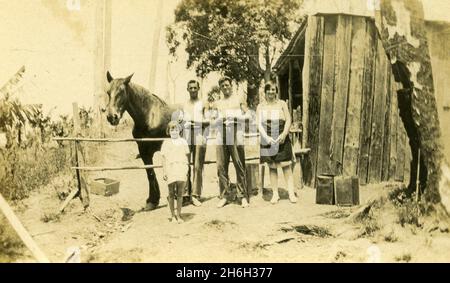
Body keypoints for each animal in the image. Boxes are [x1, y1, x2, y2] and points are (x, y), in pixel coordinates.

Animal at [104, 72, 181, 212]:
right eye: (108, 92)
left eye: (121, 91)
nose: (112, 117)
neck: (149, 117)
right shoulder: (144, 151)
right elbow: (150, 173)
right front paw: (152, 201)